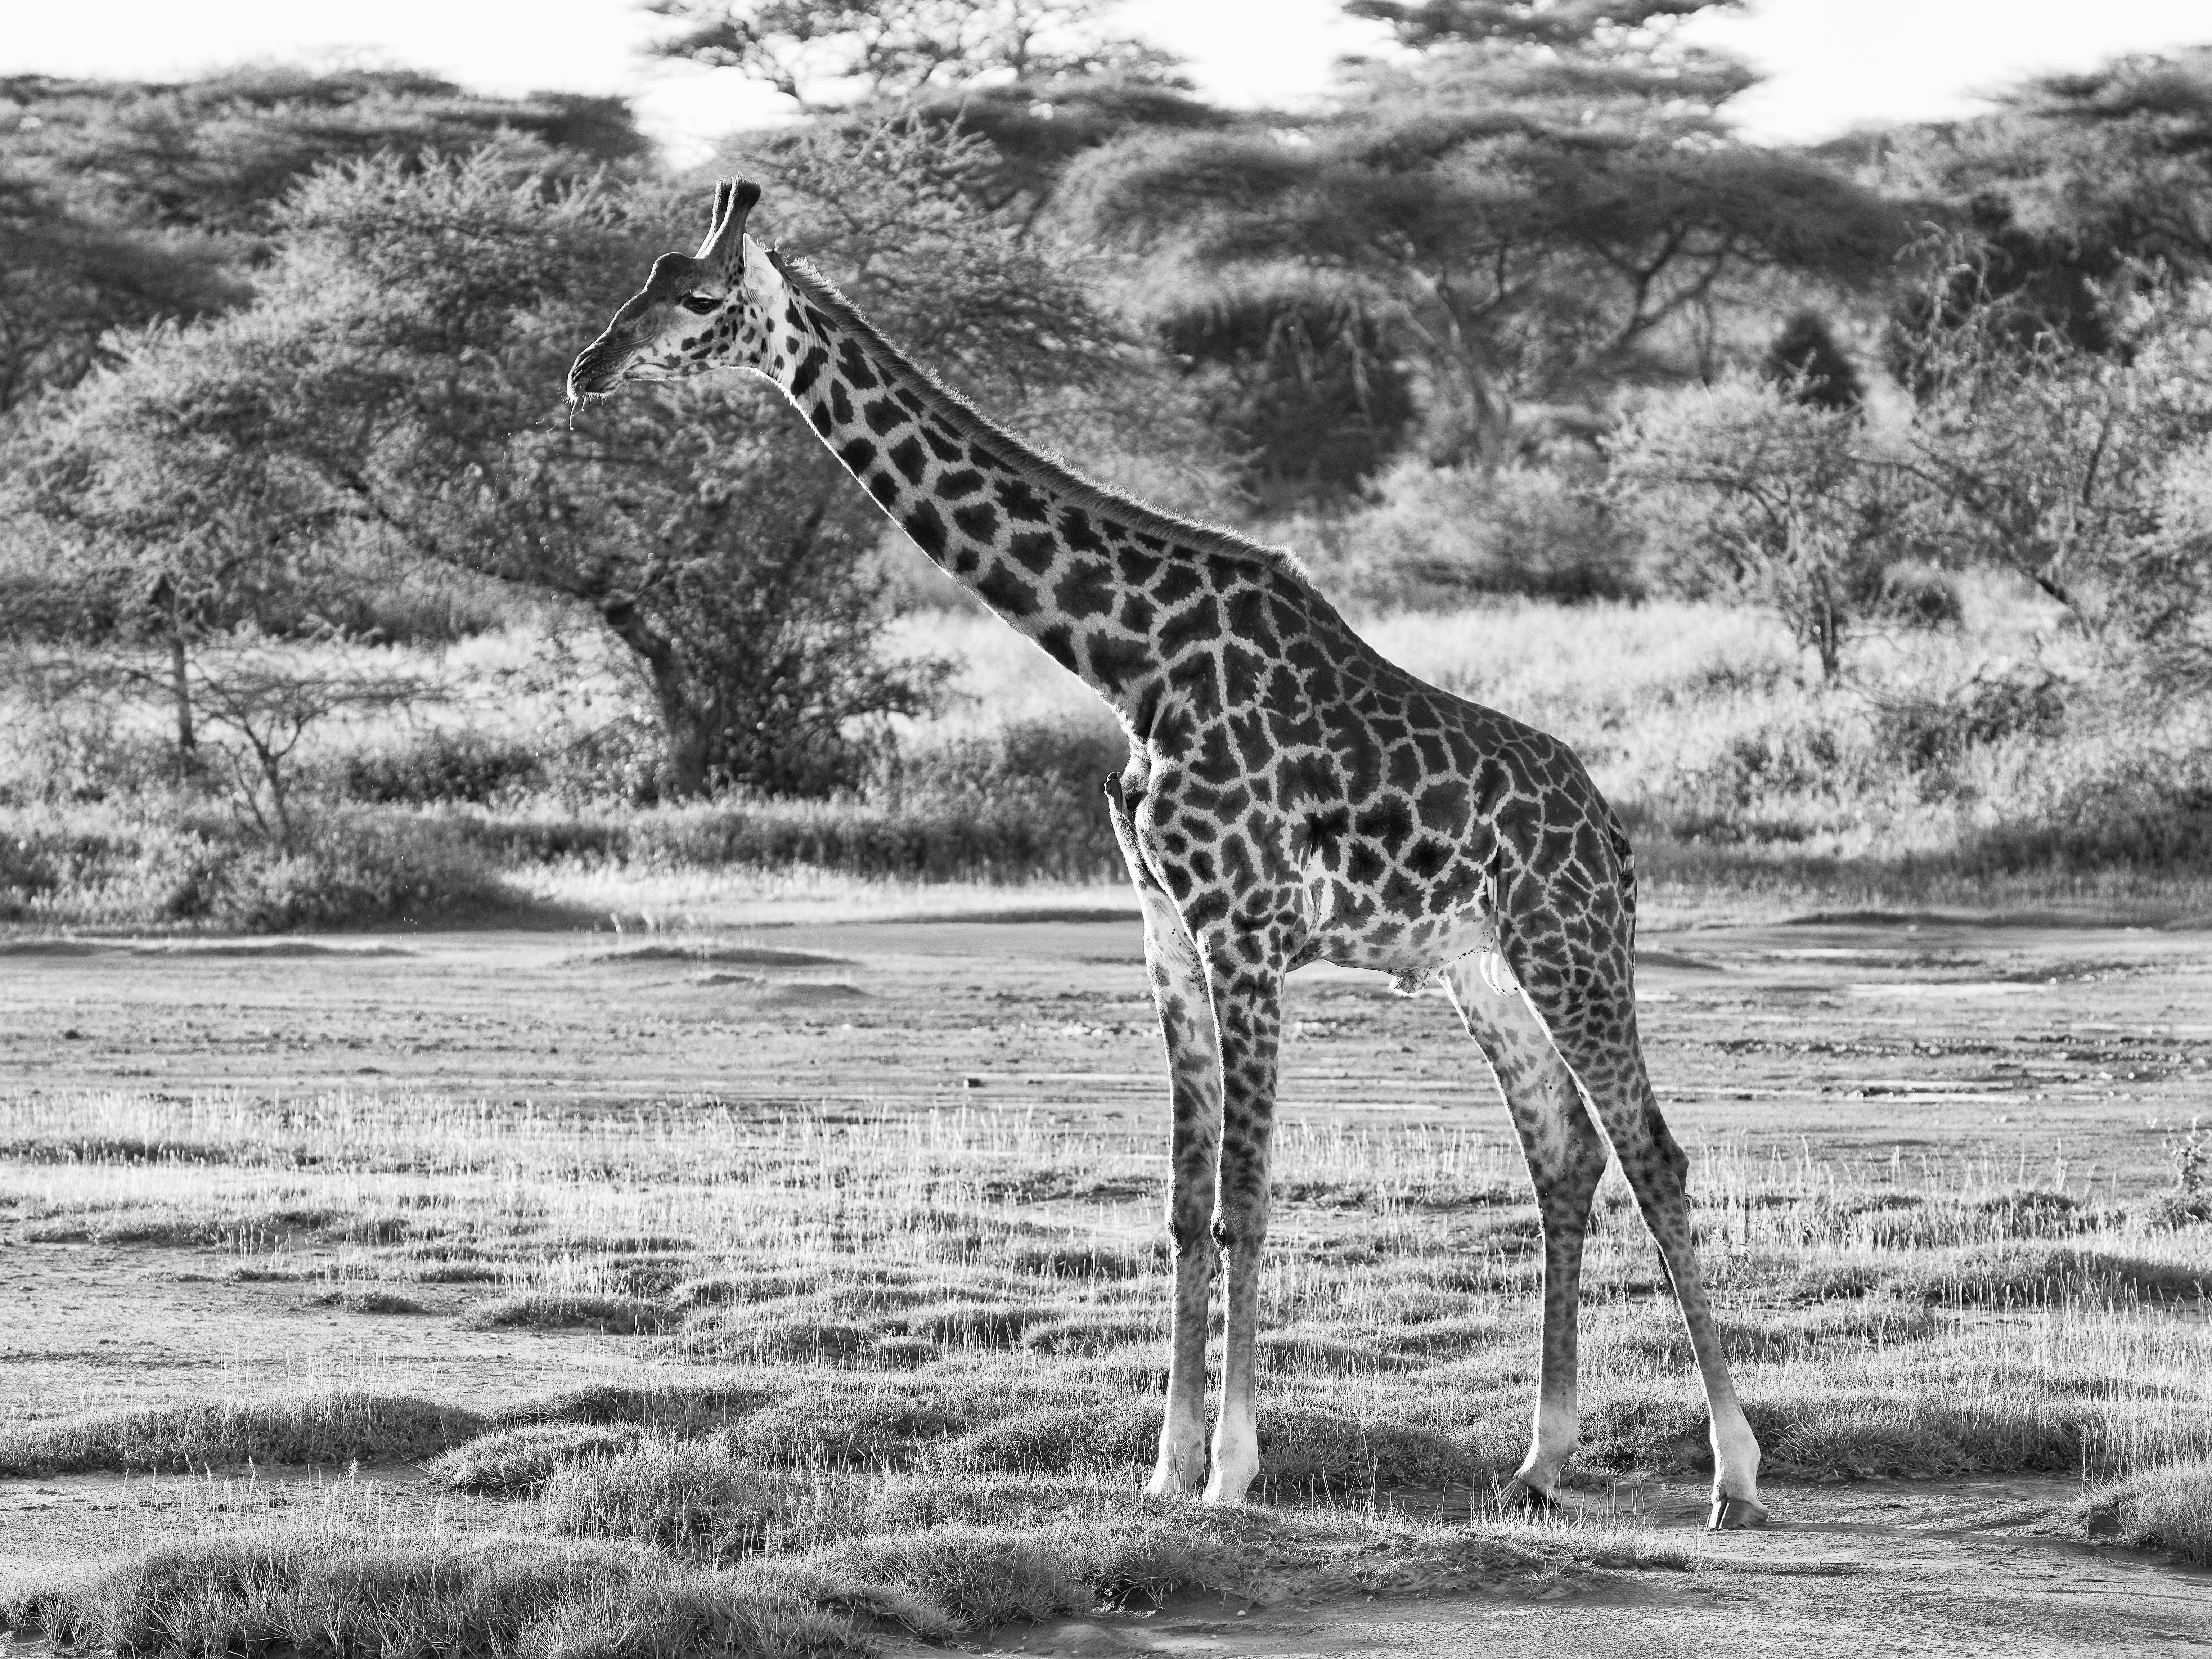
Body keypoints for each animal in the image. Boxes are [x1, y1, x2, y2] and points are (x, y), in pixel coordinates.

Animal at [569, 180, 1769, 1529]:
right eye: (640, 278)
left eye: (698, 300)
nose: (585, 369)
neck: (1126, 659)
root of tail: (1609, 828)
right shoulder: (1162, 930)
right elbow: (1187, 1204)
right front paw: (1163, 1462)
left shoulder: (1242, 929)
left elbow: (1248, 1192)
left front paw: (1234, 1469)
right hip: (1478, 964)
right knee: (1563, 1149)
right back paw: (1539, 1459)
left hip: (1570, 944)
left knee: (1654, 1152)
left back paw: (1732, 1471)